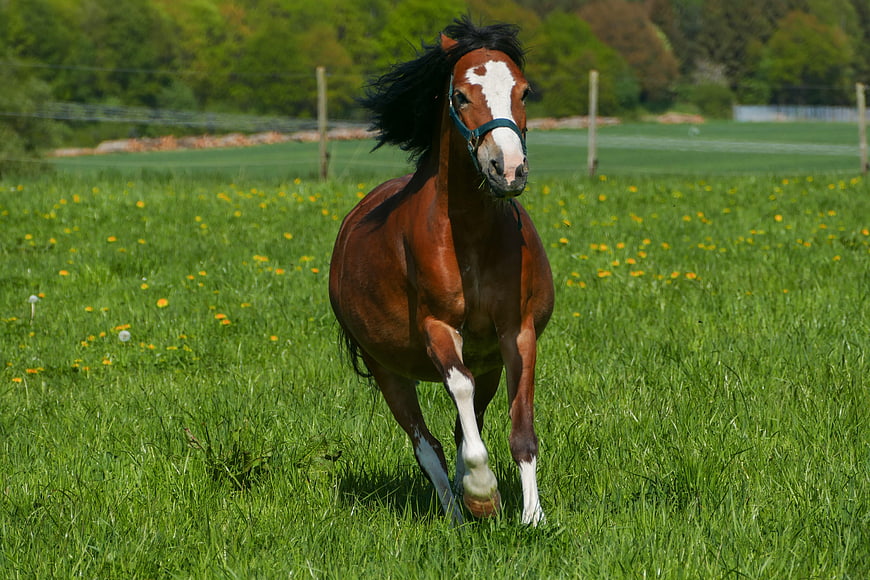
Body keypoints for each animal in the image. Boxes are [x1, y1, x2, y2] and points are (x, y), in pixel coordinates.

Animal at [328, 17, 554, 526]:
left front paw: (533, 517)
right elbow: (458, 393)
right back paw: (456, 513)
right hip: (387, 370)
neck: (468, 234)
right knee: (425, 444)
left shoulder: (516, 333)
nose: (508, 169)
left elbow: (521, 430)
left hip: (488, 363)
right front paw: (482, 494)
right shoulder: (438, 329)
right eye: (461, 96)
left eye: (525, 92)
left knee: (457, 428)